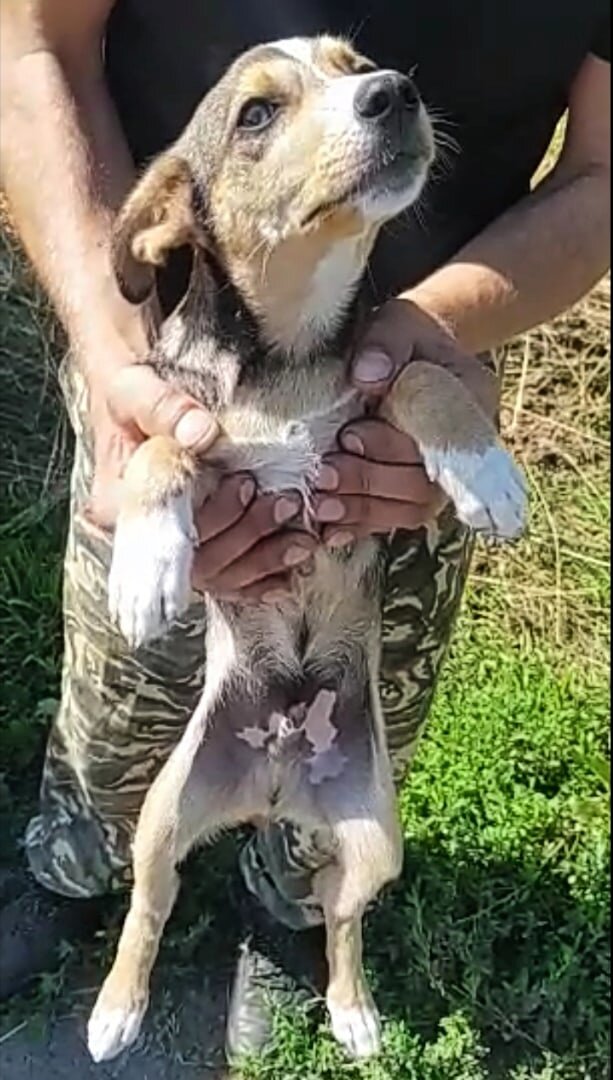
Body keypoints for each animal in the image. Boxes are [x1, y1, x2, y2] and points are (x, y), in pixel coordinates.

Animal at [87, 33, 526, 1062]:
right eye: (256, 113)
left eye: (353, 63)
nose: (394, 93)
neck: (286, 353)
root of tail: (276, 782)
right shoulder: (187, 415)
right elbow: (164, 442)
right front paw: (146, 564)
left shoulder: (372, 404)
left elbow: (415, 376)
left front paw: (483, 471)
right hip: (160, 816)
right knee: (148, 911)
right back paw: (115, 1011)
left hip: (376, 839)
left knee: (341, 919)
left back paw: (355, 1014)